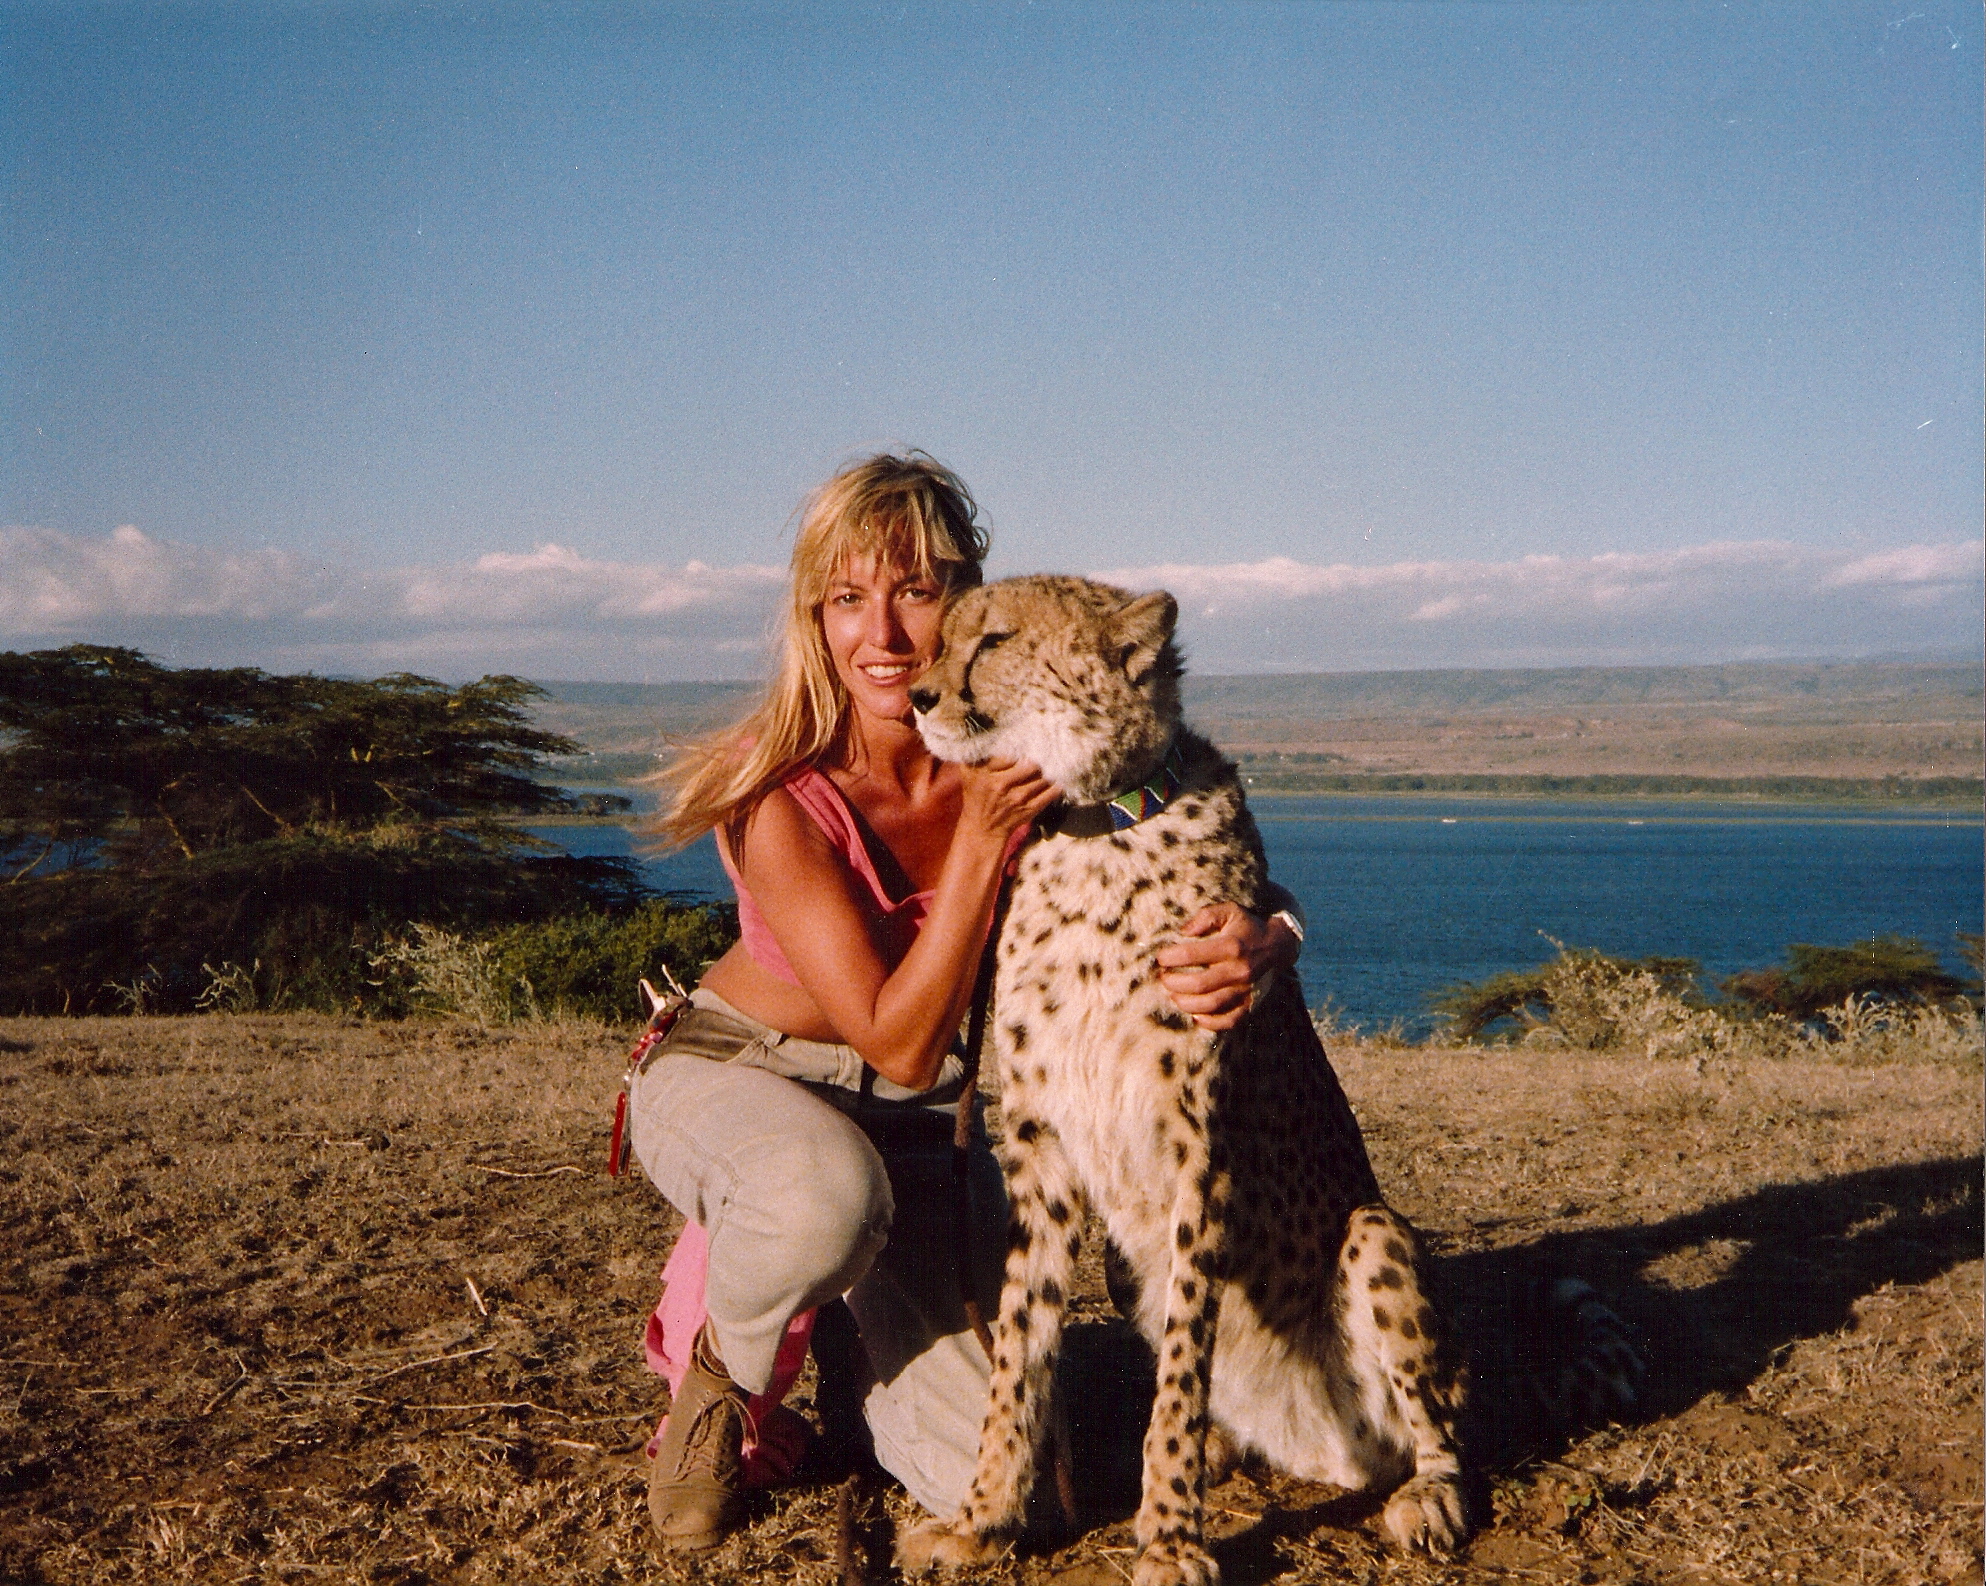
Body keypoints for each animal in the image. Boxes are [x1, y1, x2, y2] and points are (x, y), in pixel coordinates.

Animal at [901, 579, 1477, 1586]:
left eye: (996, 640)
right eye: (940, 639)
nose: (918, 698)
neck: (1098, 823)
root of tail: (1325, 1451)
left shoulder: (1198, 1161)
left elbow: (1178, 1369)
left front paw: (1169, 1538)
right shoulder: (1043, 1157)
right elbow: (1018, 1351)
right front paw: (982, 1518)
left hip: (1374, 1235)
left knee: (1437, 1429)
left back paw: (1425, 1496)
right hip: (1126, 1264)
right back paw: (1223, 1448)